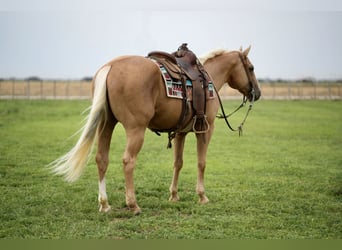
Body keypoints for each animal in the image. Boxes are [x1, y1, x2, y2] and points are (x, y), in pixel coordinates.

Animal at [49, 46, 260, 214]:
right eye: (251, 68)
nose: (257, 93)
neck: (207, 77)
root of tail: (111, 66)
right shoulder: (206, 130)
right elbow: (201, 163)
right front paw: (202, 196)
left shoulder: (181, 133)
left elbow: (178, 163)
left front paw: (174, 195)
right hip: (136, 129)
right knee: (128, 161)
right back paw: (133, 204)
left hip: (106, 124)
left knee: (102, 159)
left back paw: (105, 204)